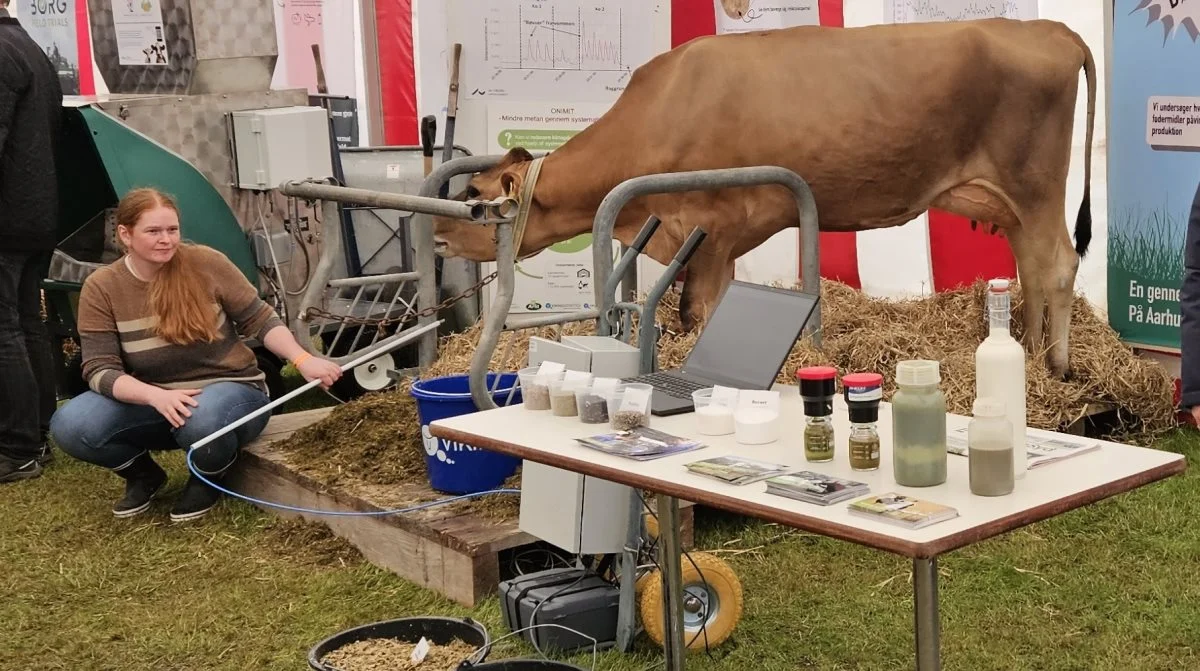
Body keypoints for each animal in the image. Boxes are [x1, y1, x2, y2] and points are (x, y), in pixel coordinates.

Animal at [436, 19, 1099, 379]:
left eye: (474, 194)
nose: (437, 236)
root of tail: (1052, 29)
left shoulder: (712, 225)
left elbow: (695, 313)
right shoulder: (721, 240)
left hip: (1037, 184)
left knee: (1059, 264)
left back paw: (1059, 366)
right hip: (1012, 199)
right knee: (1031, 266)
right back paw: (1033, 356)